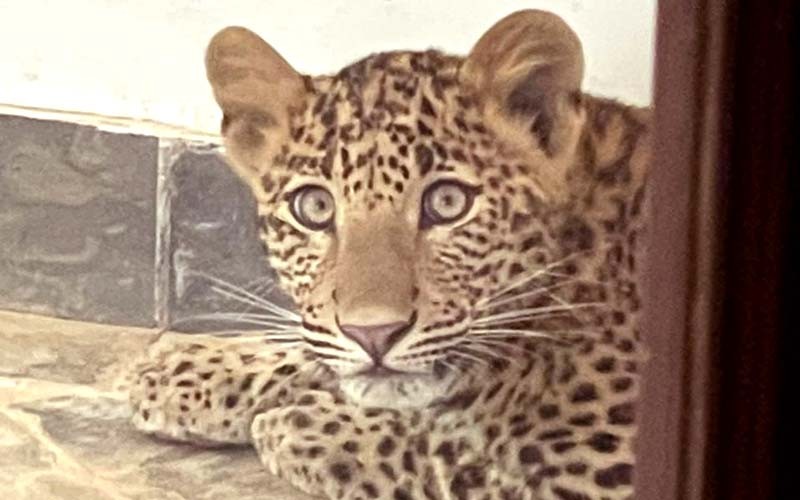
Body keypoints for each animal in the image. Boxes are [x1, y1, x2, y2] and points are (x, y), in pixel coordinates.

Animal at [130, 9, 651, 500]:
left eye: (447, 202)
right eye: (314, 208)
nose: (374, 334)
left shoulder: (602, 469)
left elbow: (462, 455)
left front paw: (308, 428)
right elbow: (314, 345)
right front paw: (187, 370)